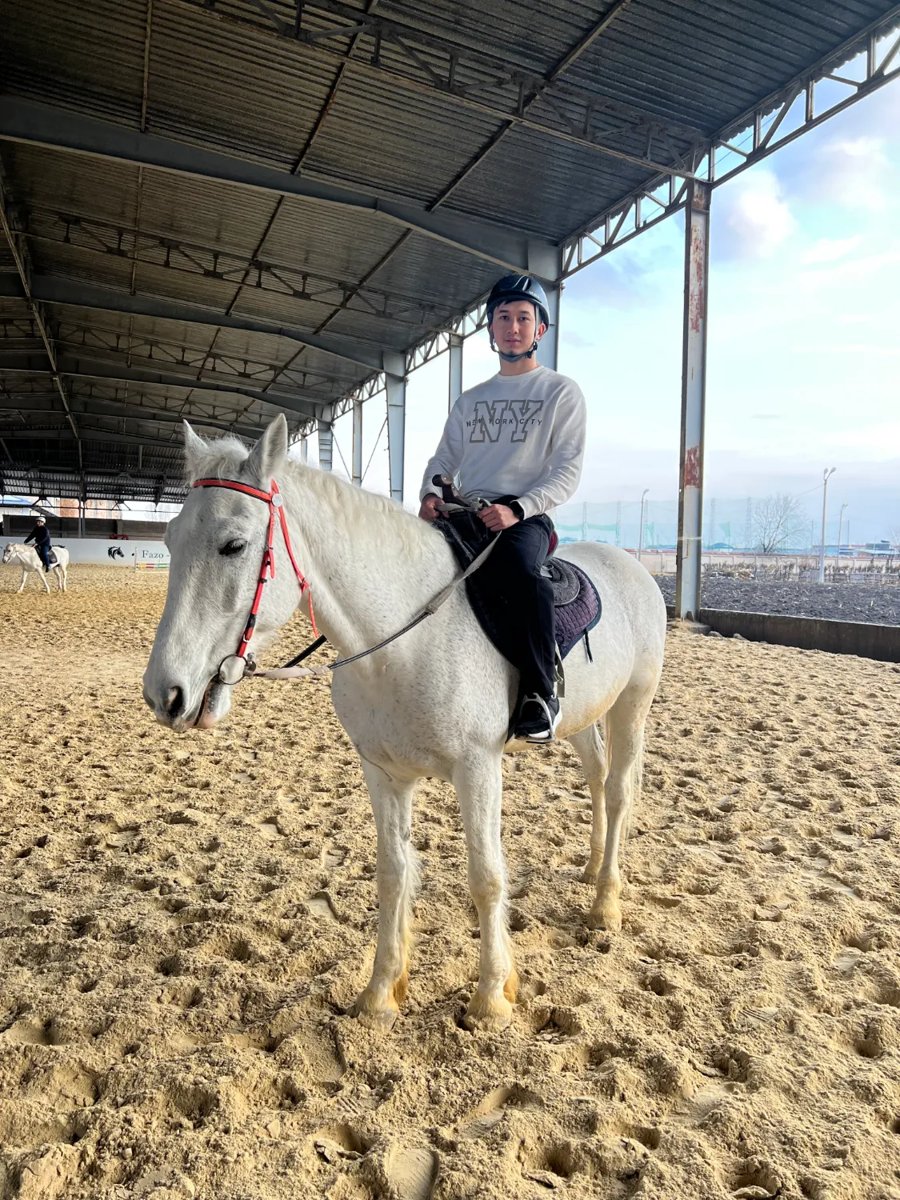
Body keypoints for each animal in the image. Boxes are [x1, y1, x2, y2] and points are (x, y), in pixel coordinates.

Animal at [143, 416, 667, 1031]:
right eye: (170, 541)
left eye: (234, 545)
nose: (164, 693)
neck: (404, 642)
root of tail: (631, 564)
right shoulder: (383, 773)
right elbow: (393, 873)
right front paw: (379, 994)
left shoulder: (478, 768)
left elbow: (486, 877)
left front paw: (491, 998)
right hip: (585, 717)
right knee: (596, 781)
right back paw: (589, 870)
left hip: (633, 703)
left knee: (620, 789)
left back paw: (605, 903)